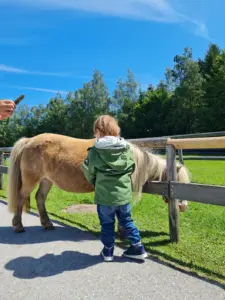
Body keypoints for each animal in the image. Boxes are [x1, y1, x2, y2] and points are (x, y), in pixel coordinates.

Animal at [6, 134, 190, 234]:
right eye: (178, 181)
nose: (183, 207)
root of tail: (29, 140)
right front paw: (122, 232)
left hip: (46, 180)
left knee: (40, 198)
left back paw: (47, 224)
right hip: (31, 180)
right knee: (21, 198)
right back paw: (18, 225)